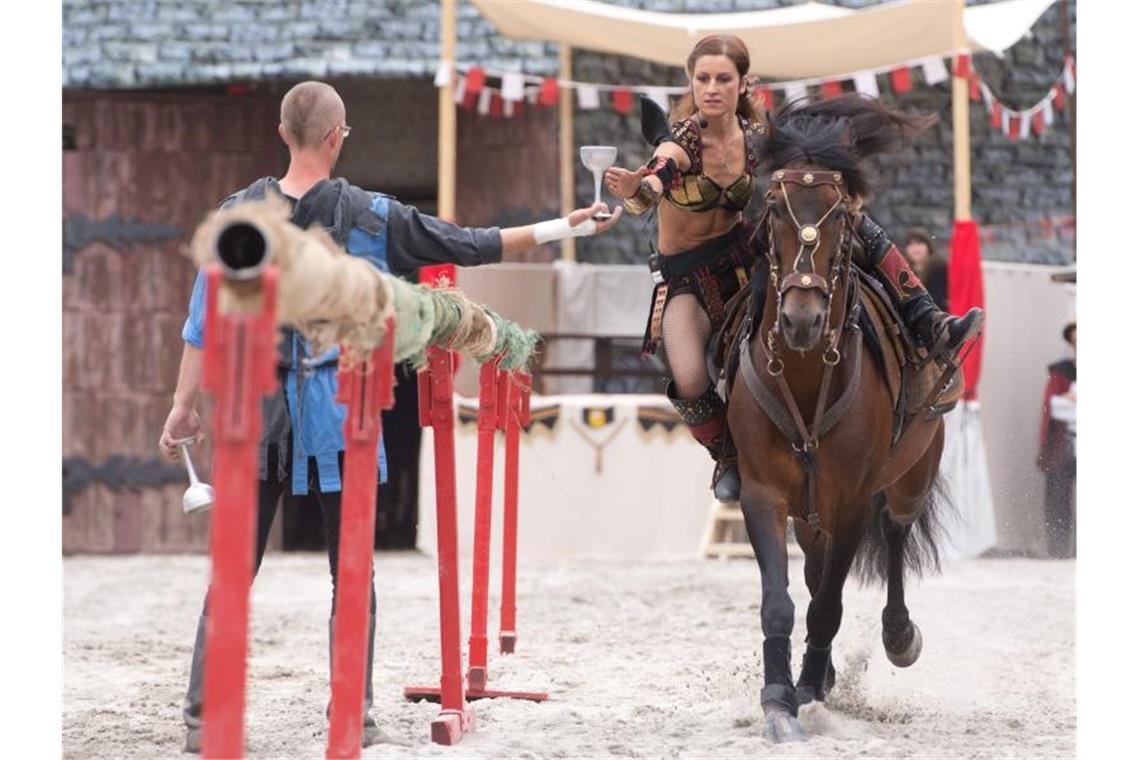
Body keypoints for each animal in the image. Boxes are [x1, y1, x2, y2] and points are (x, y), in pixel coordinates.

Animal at [729, 95, 953, 742]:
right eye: (773, 211)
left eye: (842, 220)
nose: (801, 319)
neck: (807, 375)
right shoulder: (762, 493)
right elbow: (781, 600)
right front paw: (780, 698)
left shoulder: (854, 498)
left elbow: (829, 604)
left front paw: (805, 687)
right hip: (811, 508)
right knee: (814, 569)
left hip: (911, 476)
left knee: (896, 534)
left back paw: (895, 637)